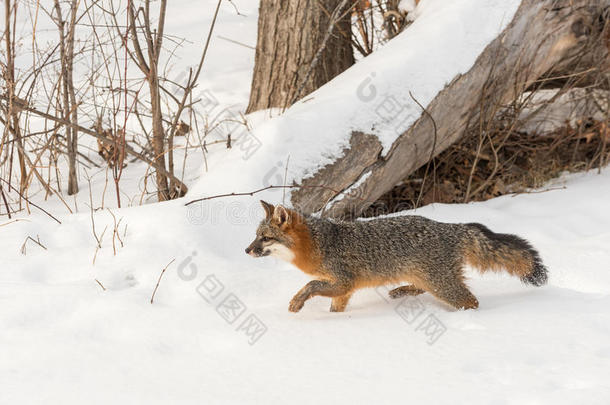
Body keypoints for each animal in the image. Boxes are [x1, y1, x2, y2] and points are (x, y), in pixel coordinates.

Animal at [243, 200, 548, 310]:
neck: (322, 244)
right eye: (256, 235)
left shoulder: (343, 281)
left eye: (265, 238)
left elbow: (310, 284)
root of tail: (452, 227)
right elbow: (333, 305)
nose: (246, 250)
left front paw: (297, 301)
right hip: (431, 280)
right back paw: (401, 291)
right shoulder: (344, 289)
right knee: (423, 287)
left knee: (471, 301)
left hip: (443, 286)